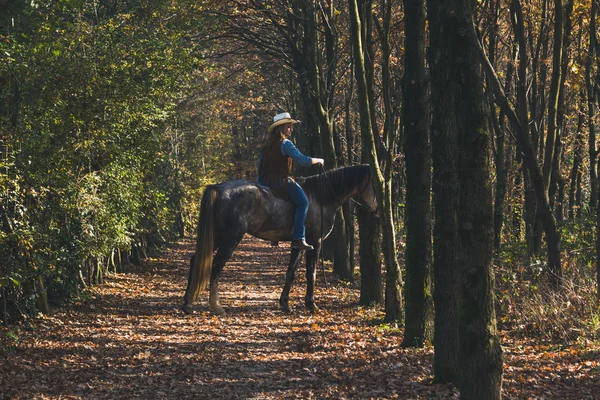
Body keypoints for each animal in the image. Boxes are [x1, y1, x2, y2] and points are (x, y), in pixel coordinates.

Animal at [180, 164, 378, 314]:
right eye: (373, 182)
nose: (376, 208)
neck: (321, 197)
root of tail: (218, 188)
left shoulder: (299, 245)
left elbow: (291, 273)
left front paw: (285, 303)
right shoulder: (315, 243)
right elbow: (311, 273)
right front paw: (311, 304)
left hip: (218, 237)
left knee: (195, 260)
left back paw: (188, 303)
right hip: (230, 239)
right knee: (216, 266)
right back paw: (216, 306)